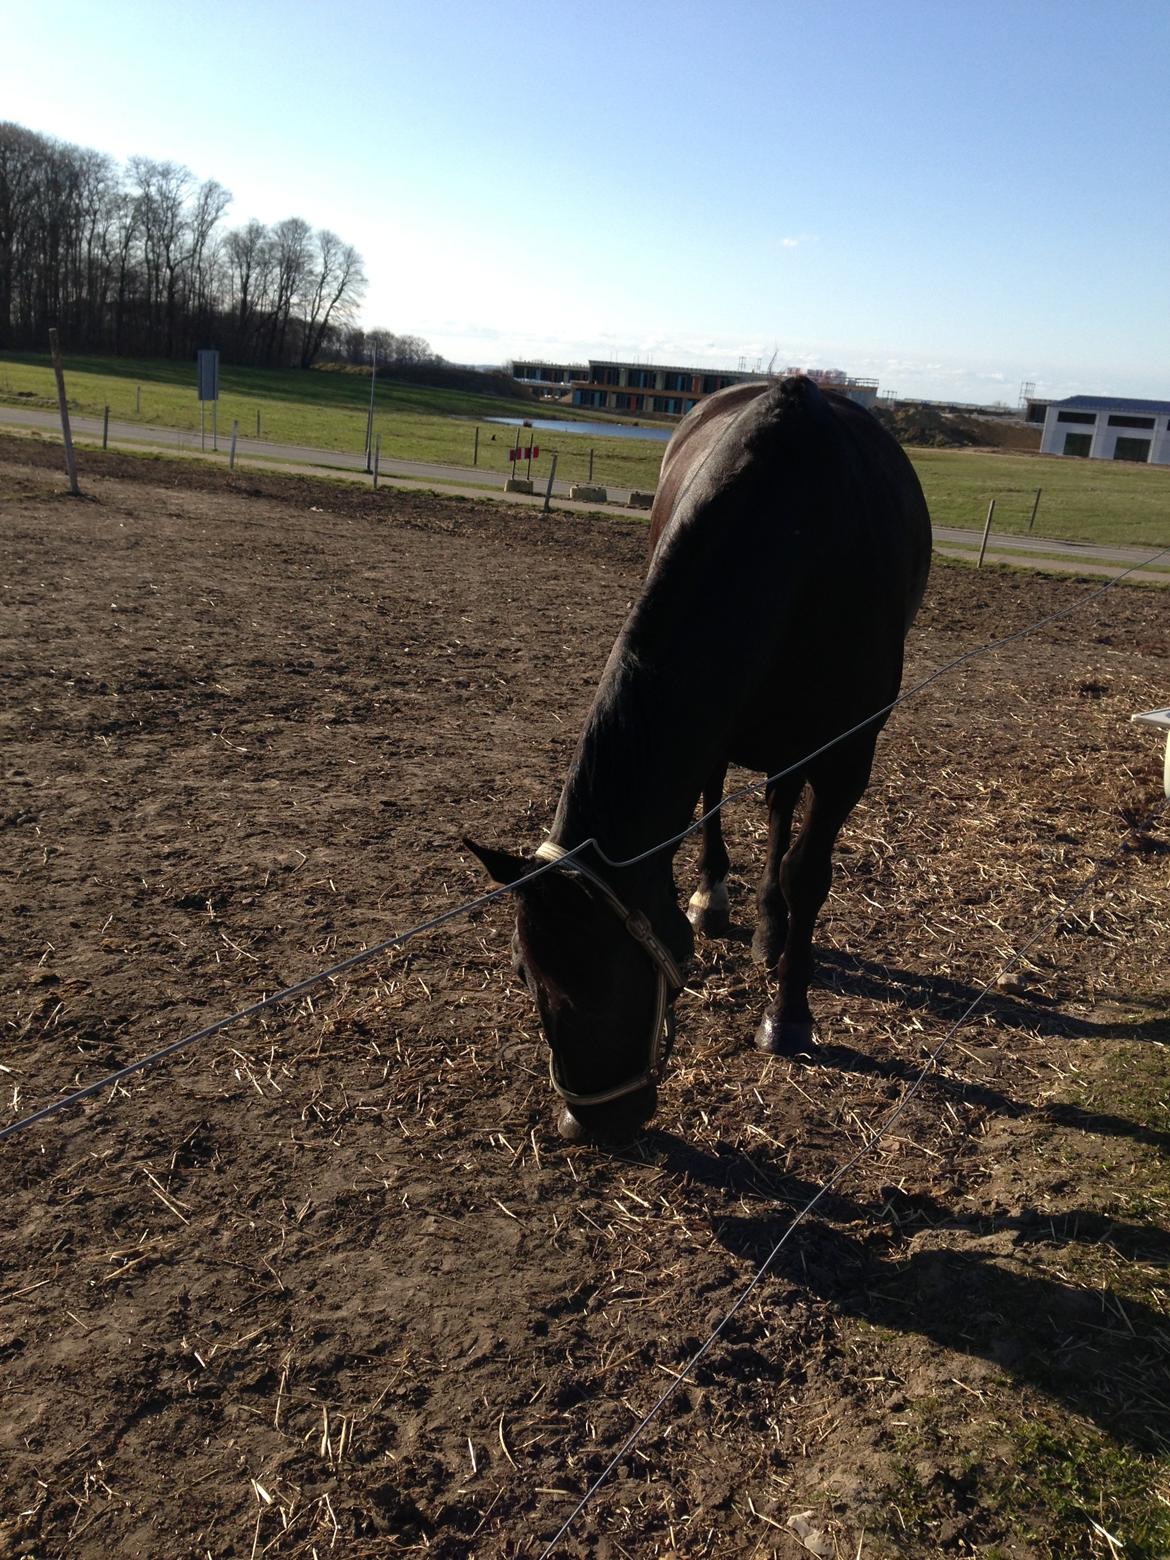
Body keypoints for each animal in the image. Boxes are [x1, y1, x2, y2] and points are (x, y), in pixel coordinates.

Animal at [467, 372, 935, 1141]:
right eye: (522, 973)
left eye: (607, 974)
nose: (588, 1124)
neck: (797, 533)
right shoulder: (718, 720)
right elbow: (710, 804)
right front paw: (712, 898)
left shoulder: (848, 755)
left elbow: (809, 872)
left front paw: (789, 1013)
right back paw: (726, 903)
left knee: (782, 818)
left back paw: (772, 929)